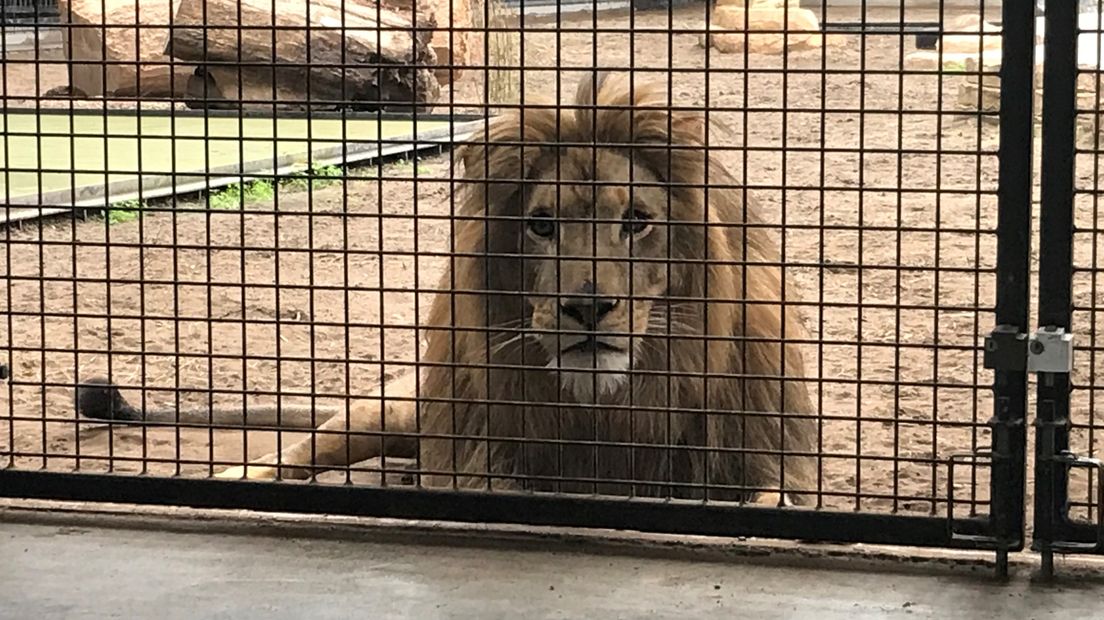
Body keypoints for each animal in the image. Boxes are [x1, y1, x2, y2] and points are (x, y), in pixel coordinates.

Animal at [77, 72, 821, 507]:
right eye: (541, 224)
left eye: (636, 221)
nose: (587, 307)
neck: (609, 407)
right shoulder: (483, 453)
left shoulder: (764, 462)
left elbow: (770, 499)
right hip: (386, 412)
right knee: (288, 456)